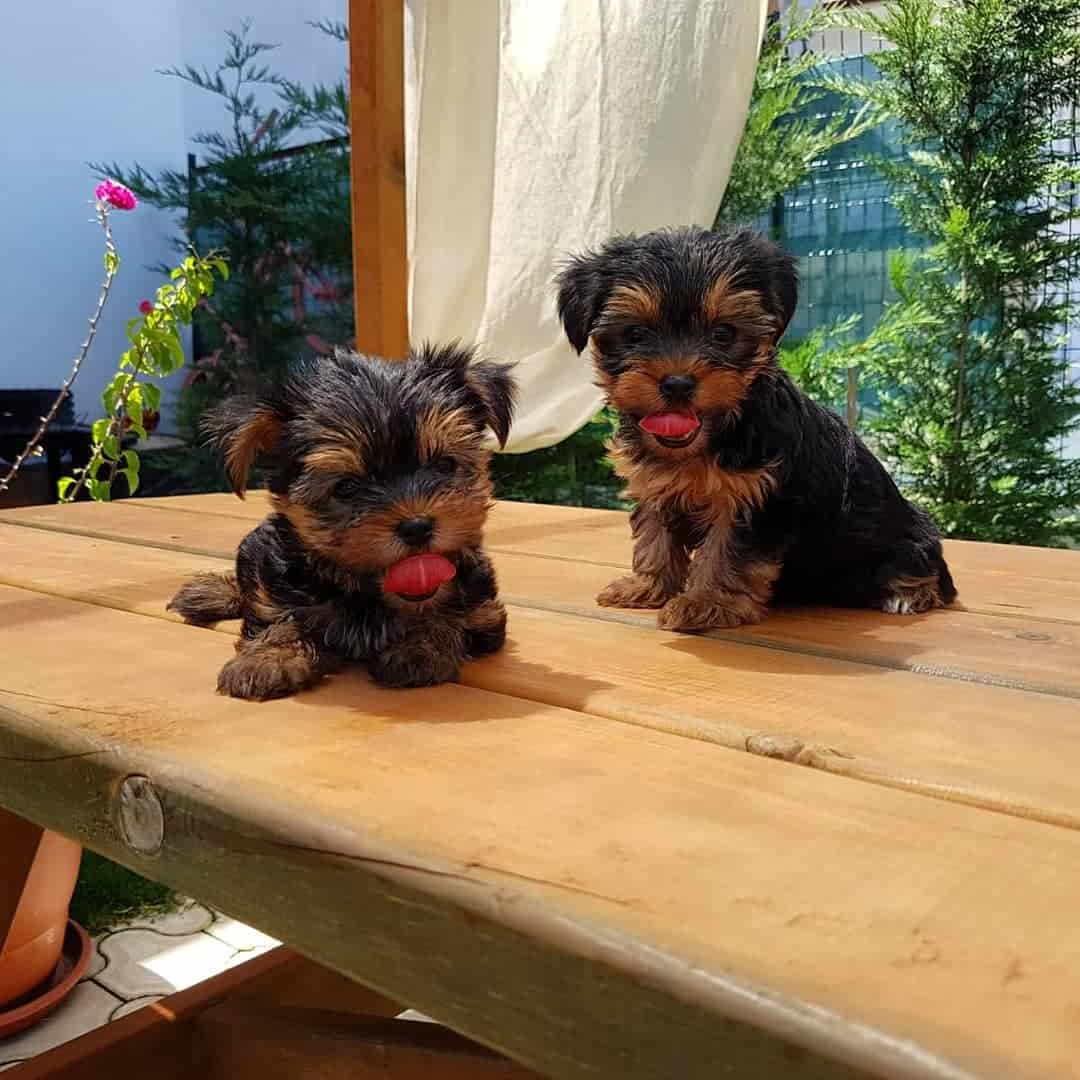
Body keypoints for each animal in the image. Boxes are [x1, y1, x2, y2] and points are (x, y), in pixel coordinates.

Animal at [168, 345, 518, 699]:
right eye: (346, 487)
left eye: (445, 465)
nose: (417, 526)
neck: (365, 592)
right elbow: (282, 617)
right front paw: (268, 658)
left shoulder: (484, 612)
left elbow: (451, 614)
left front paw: (419, 647)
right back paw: (211, 593)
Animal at [557, 227, 954, 630]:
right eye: (635, 334)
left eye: (723, 334)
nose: (678, 384)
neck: (715, 433)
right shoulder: (656, 487)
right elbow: (656, 536)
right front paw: (647, 586)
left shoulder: (757, 498)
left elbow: (726, 552)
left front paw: (703, 601)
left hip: (909, 537)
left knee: (923, 567)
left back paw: (908, 593)